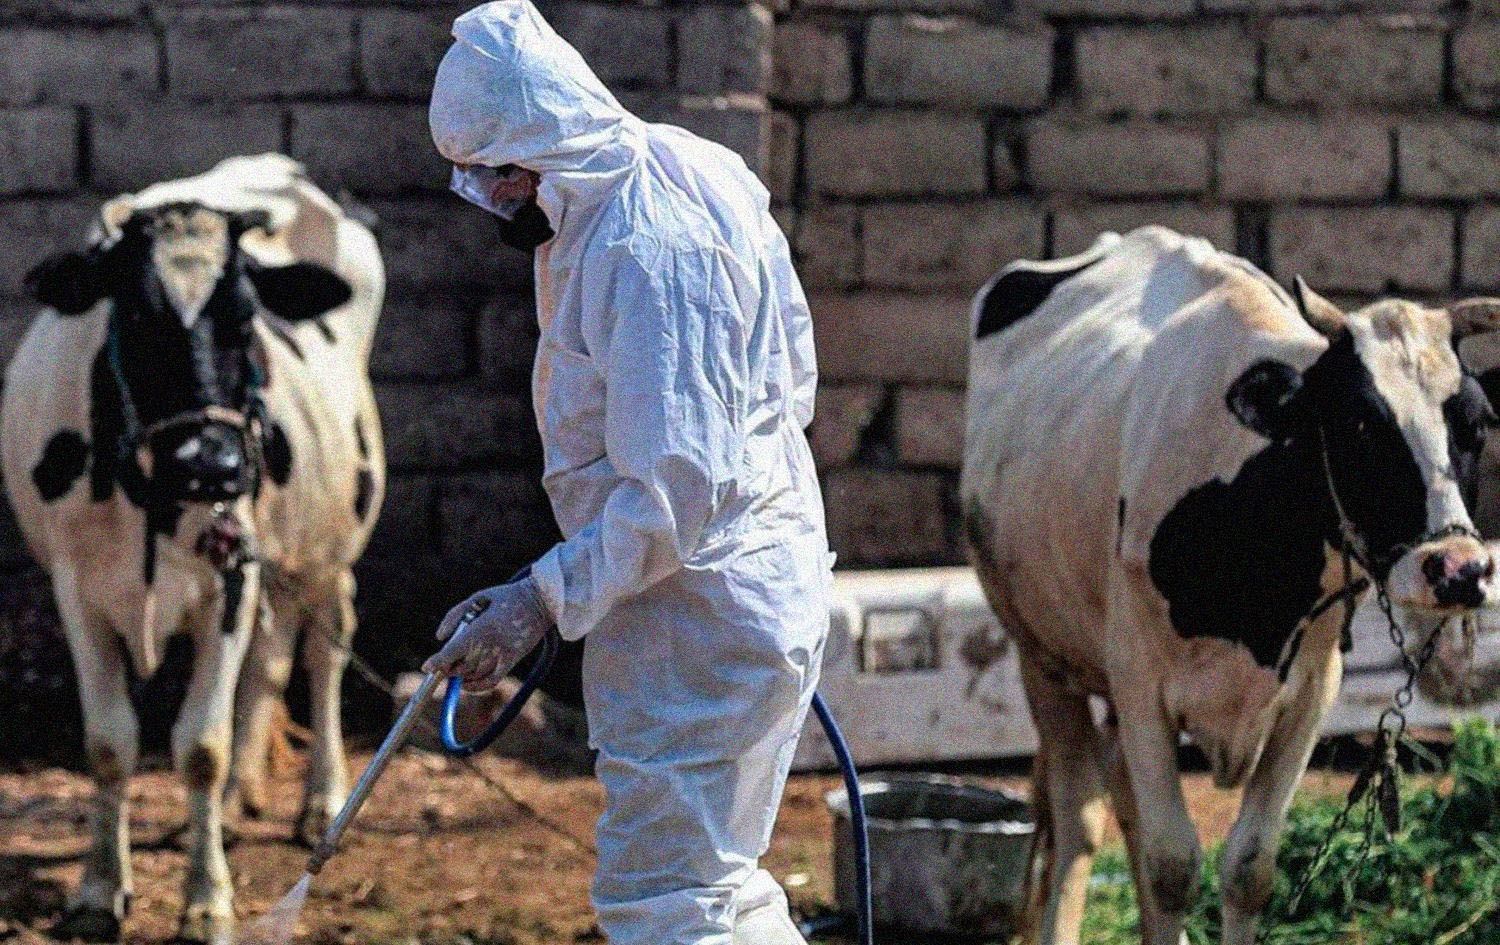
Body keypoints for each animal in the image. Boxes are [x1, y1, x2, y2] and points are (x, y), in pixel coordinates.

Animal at [0, 155, 385, 943]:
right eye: (137, 316)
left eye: (245, 319)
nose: (212, 462)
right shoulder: (75, 587)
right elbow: (109, 742)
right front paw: (98, 889)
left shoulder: (226, 581)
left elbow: (200, 746)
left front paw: (207, 900)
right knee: (272, 653)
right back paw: (239, 802)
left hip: (333, 535)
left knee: (326, 645)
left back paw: (322, 801)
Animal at [960, 226, 1500, 945]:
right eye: (1359, 422)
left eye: (1477, 423)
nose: (1460, 568)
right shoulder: (1139, 681)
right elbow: (1171, 864)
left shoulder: (1311, 693)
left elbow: (1247, 866)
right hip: (1041, 657)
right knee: (1081, 815)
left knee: (1120, 798)